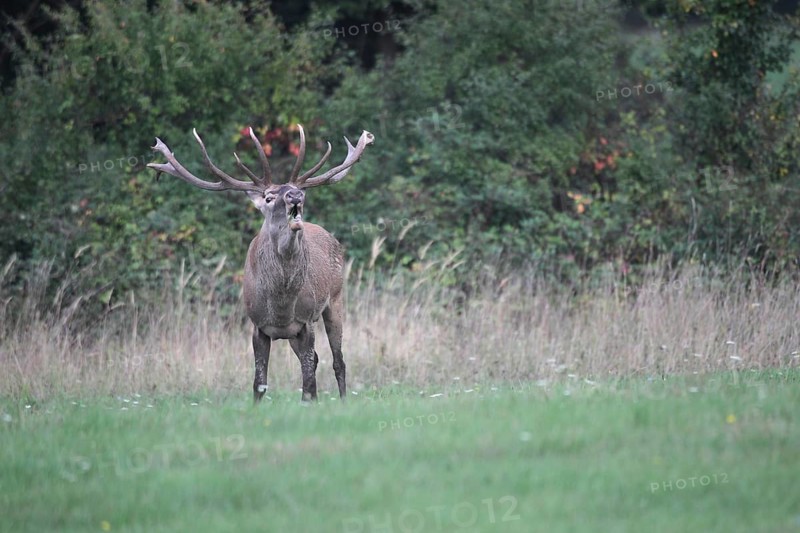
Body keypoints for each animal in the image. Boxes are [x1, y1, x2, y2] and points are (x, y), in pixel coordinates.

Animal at [148, 125, 374, 402]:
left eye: (301, 192)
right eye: (268, 197)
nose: (295, 195)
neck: (280, 304)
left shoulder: (306, 320)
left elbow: (308, 380)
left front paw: (309, 403)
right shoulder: (258, 325)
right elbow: (259, 382)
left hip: (336, 299)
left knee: (337, 361)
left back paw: (342, 401)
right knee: (319, 360)